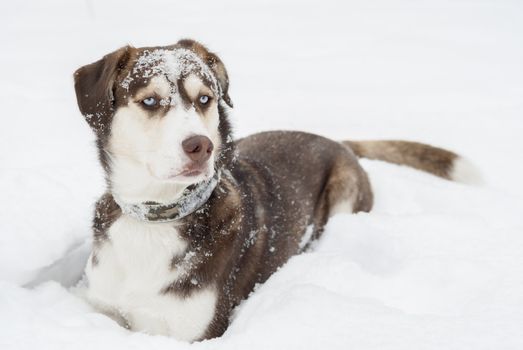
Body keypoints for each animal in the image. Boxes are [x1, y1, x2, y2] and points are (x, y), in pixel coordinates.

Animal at [72, 39, 470, 342]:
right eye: (151, 101)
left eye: (205, 99)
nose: (201, 146)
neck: (155, 218)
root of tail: (338, 141)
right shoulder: (102, 308)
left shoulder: (193, 332)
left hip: (344, 193)